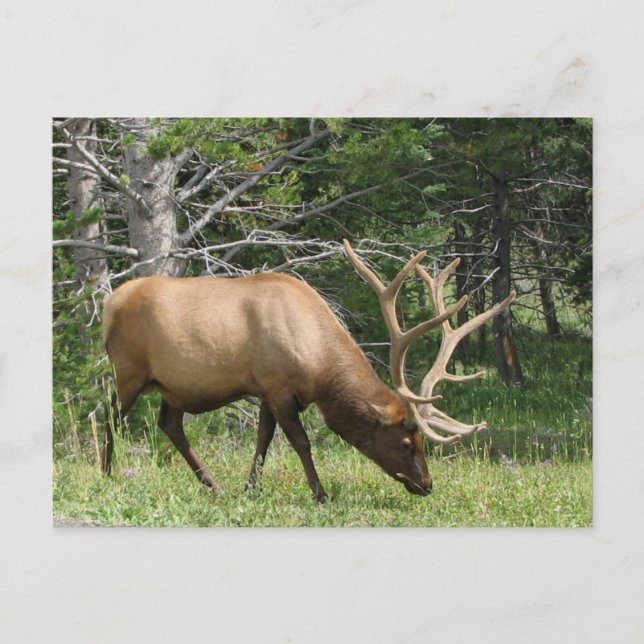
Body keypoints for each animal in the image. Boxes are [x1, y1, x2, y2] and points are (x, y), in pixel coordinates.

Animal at [101, 240, 514, 501]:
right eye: (406, 442)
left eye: (423, 442)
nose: (426, 484)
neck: (318, 367)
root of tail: (109, 302)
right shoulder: (279, 387)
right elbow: (300, 441)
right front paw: (320, 493)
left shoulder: (267, 388)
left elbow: (264, 437)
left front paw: (251, 488)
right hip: (128, 371)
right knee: (108, 416)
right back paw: (106, 475)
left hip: (174, 385)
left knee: (169, 425)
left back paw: (213, 485)